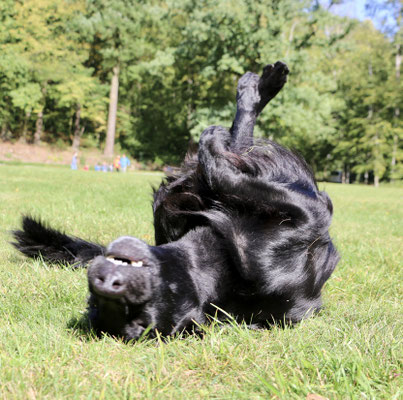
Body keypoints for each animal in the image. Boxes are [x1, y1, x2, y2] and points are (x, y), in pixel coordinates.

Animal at [12, 62, 340, 340]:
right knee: (239, 136)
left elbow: (220, 167)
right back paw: (260, 87)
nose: (106, 284)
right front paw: (216, 135)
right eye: (96, 304)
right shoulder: (306, 213)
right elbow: (222, 165)